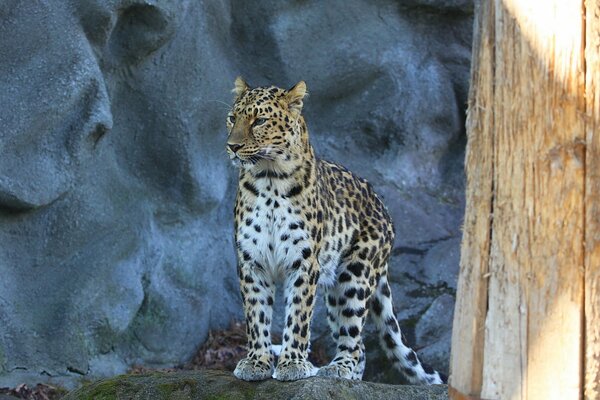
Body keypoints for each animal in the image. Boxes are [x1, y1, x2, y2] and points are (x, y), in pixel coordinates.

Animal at [225, 76, 446, 386]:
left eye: (260, 121)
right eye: (232, 118)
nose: (232, 146)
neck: (269, 179)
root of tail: (384, 209)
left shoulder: (304, 261)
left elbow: (298, 315)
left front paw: (293, 363)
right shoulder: (251, 260)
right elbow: (256, 314)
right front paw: (257, 361)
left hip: (355, 274)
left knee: (354, 338)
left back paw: (338, 370)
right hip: (334, 289)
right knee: (360, 346)